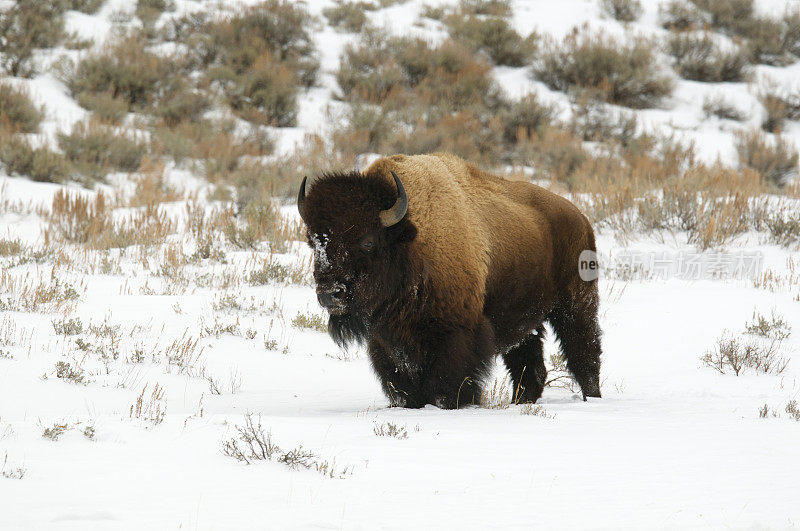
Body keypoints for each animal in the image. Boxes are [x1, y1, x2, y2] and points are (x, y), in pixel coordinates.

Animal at [296, 152, 604, 410]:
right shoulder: (386, 343)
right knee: (530, 365)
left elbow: (447, 386)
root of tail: (579, 218)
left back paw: (593, 399)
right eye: (313, 241)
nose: (329, 294)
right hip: (525, 319)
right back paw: (522, 403)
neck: (411, 243)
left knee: (584, 352)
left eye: (368, 242)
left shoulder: (454, 337)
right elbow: (403, 388)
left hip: (576, 305)